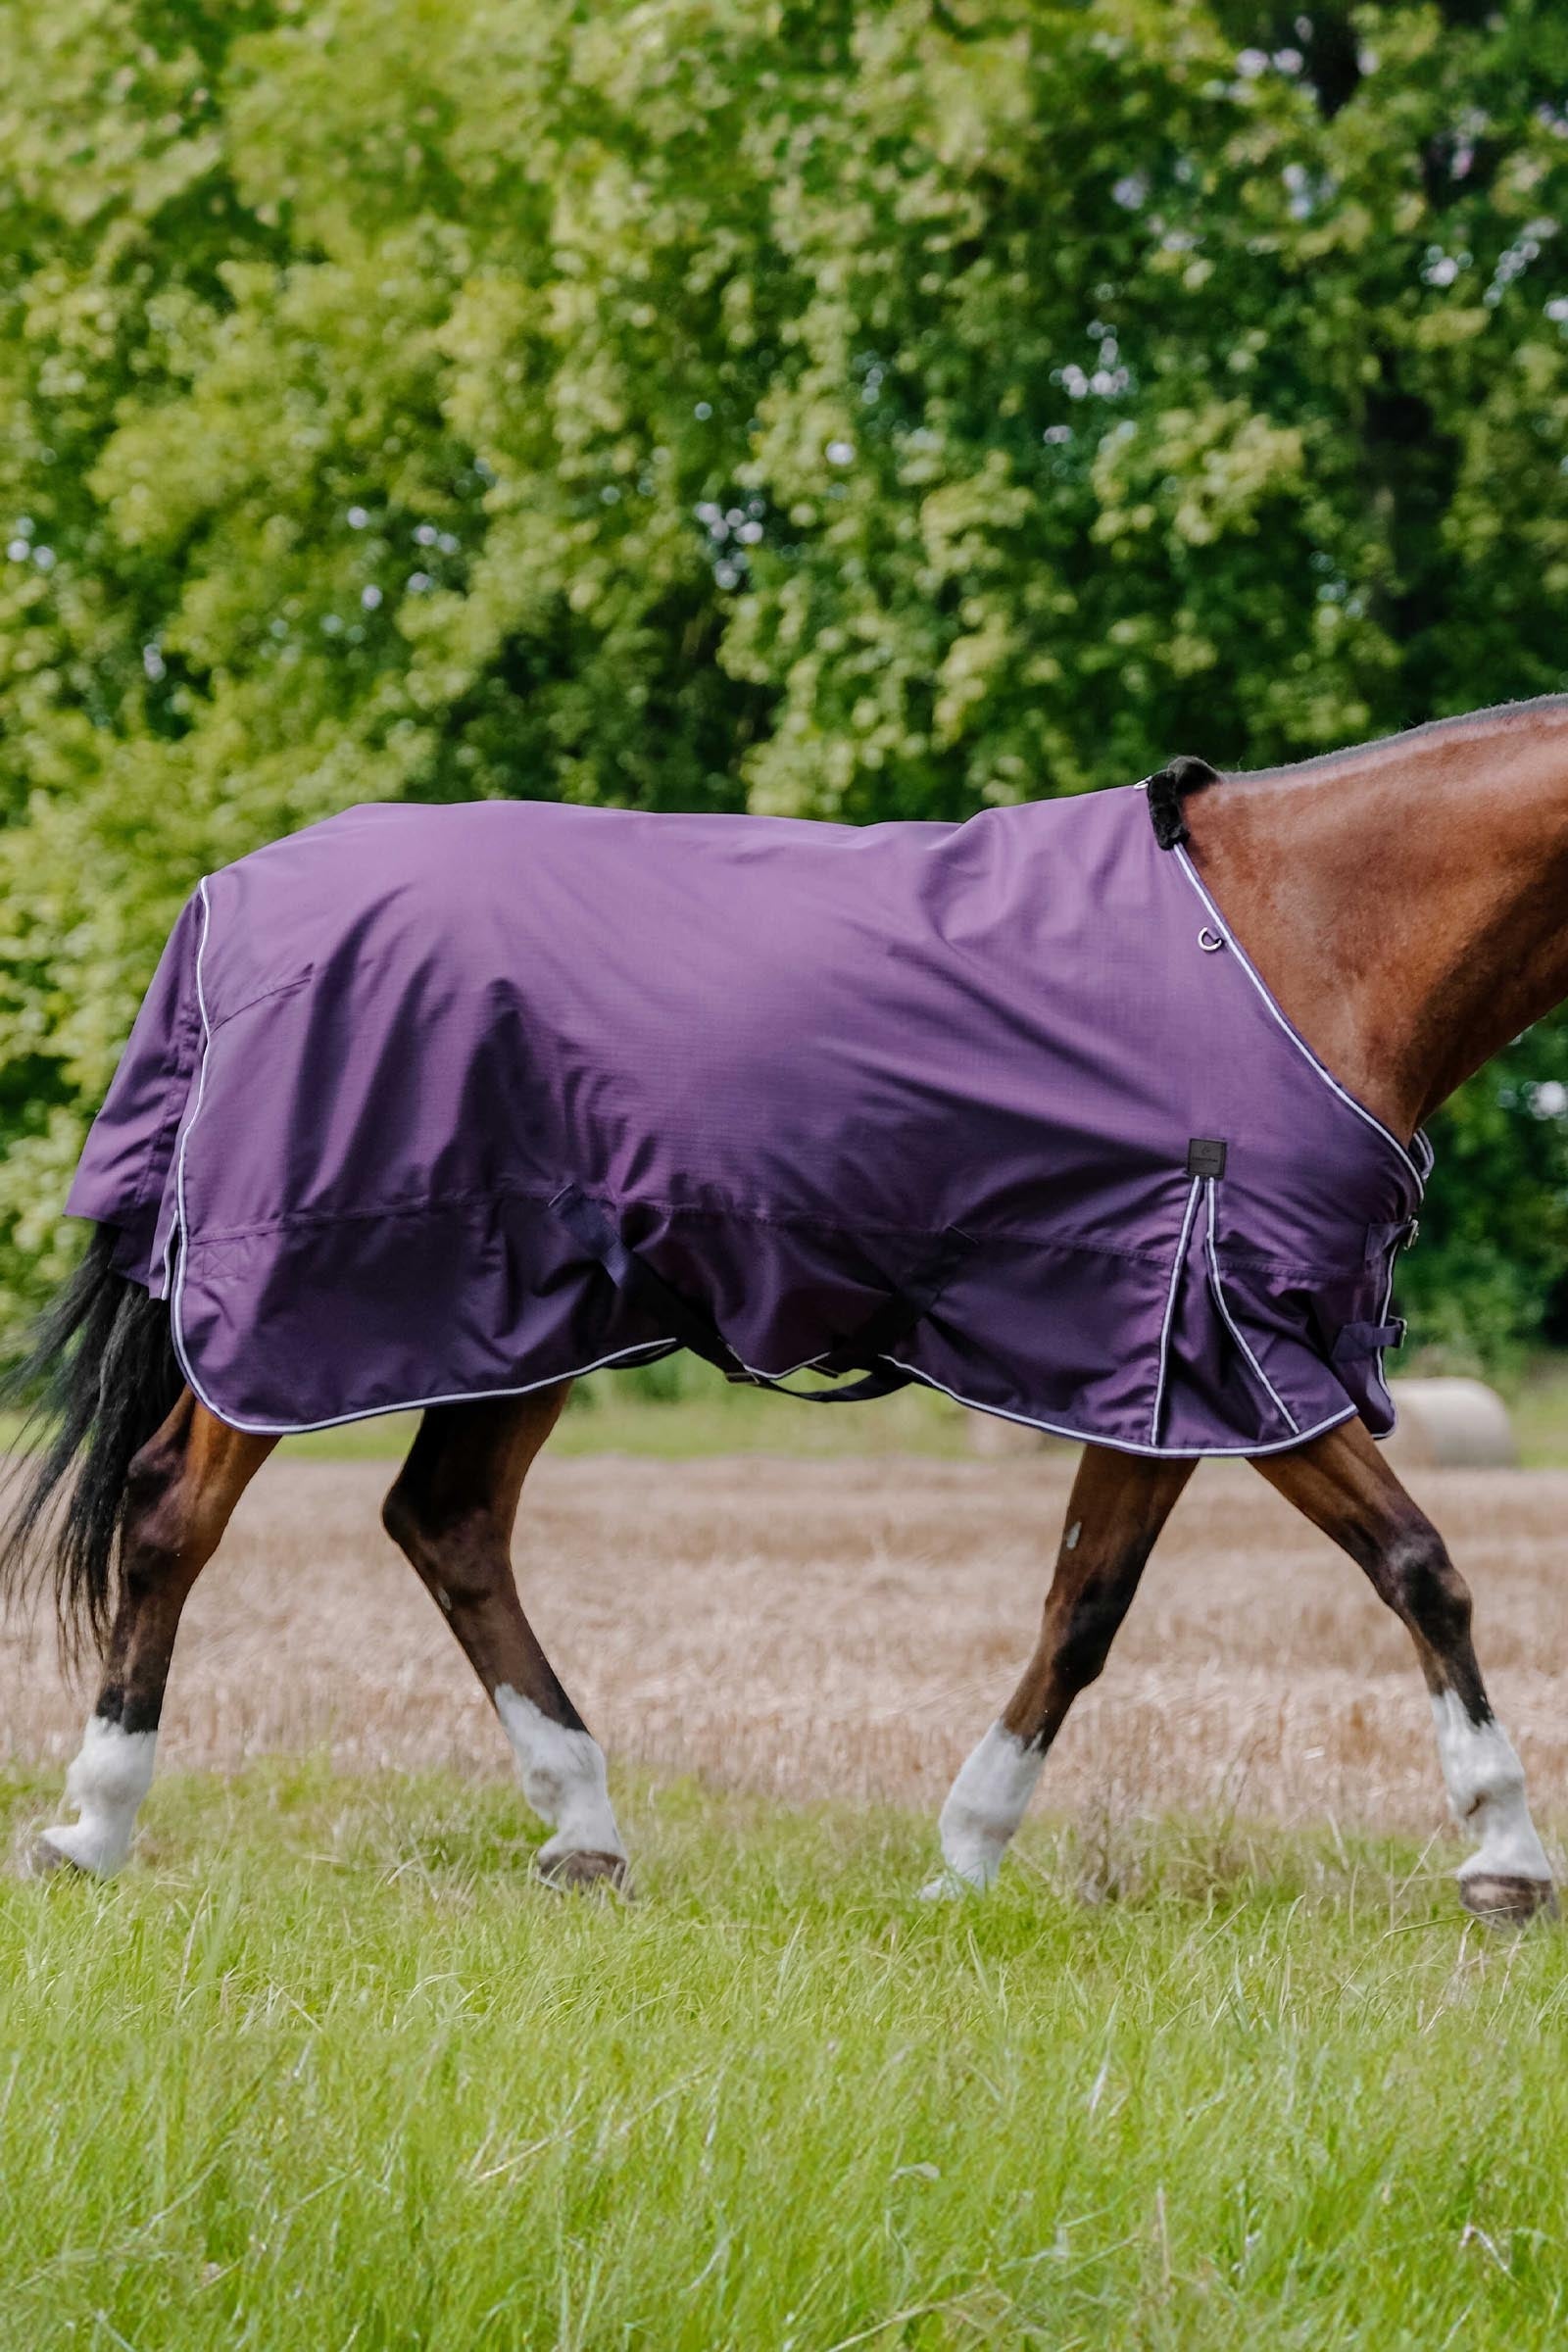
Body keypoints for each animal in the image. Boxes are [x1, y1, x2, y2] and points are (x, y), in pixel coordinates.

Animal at [3, 695, 1565, 1925]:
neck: (1301, 937)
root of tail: (232, 899)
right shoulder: (1234, 1342)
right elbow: (1417, 1566)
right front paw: (1504, 1851)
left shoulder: (1162, 1360)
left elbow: (1085, 1608)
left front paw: (965, 1857)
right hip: (306, 1306)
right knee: (172, 1513)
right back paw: (94, 1825)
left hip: (522, 1318)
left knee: (446, 1523)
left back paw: (582, 1829)